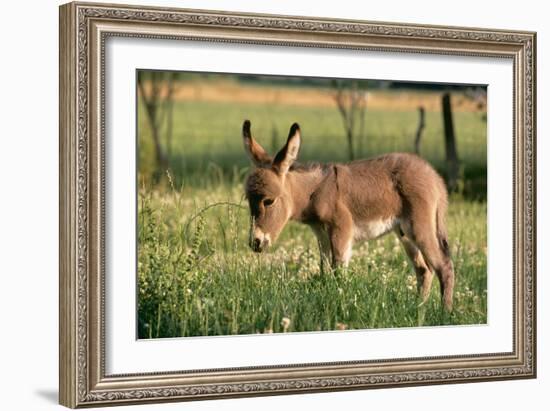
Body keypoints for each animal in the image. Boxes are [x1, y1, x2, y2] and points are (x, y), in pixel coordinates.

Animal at [244, 119, 454, 312]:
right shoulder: (321, 235)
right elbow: (325, 272)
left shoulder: (341, 229)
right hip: (404, 233)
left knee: (444, 266)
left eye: (268, 201)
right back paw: (419, 308)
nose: (255, 243)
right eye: (248, 200)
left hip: (419, 228)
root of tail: (435, 177)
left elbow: (338, 272)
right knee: (424, 270)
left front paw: (338, 305)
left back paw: (445, 312)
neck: (316, 191)